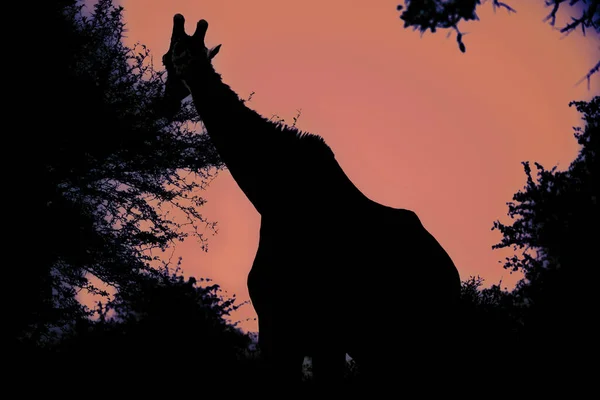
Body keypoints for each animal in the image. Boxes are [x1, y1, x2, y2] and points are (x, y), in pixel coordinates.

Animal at [162, 13, 462, 390]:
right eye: (166, 58)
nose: (166, 102)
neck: (275, 198)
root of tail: (453, 276)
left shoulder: (313, 332)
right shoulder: (286, 329)